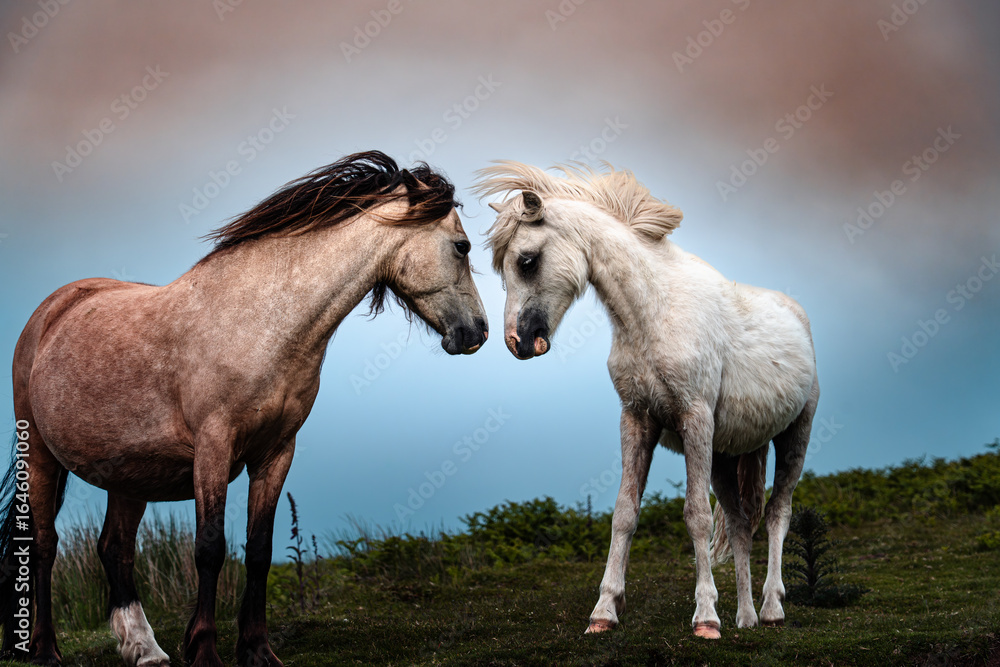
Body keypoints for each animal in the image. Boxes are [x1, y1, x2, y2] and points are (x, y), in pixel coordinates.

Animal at [0, 151, 488, 667]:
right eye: (461, 246)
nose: (477, 331)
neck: (262, 324)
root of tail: (51, 311)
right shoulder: (214, 448)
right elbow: (210, 548)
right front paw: (204, 650)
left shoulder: (275, 454)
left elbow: (258, 550)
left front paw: (257, 650)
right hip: (41, 457)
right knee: (44, 545)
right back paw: (46, 649)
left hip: (129, 474)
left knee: (115, 548)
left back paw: (145, 649)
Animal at [474, 162, 818, 639]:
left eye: (527, 260)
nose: (518, 343)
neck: (653, 314)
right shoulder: (637, 420)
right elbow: (624, 514)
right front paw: (603, 611)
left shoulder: (695, 419)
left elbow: (696, 515)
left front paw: (705, 618)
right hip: (727, 455)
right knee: (740, 523)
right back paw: (745, 617)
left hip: (793, 437)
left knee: (777, 513)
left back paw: (770, 608)